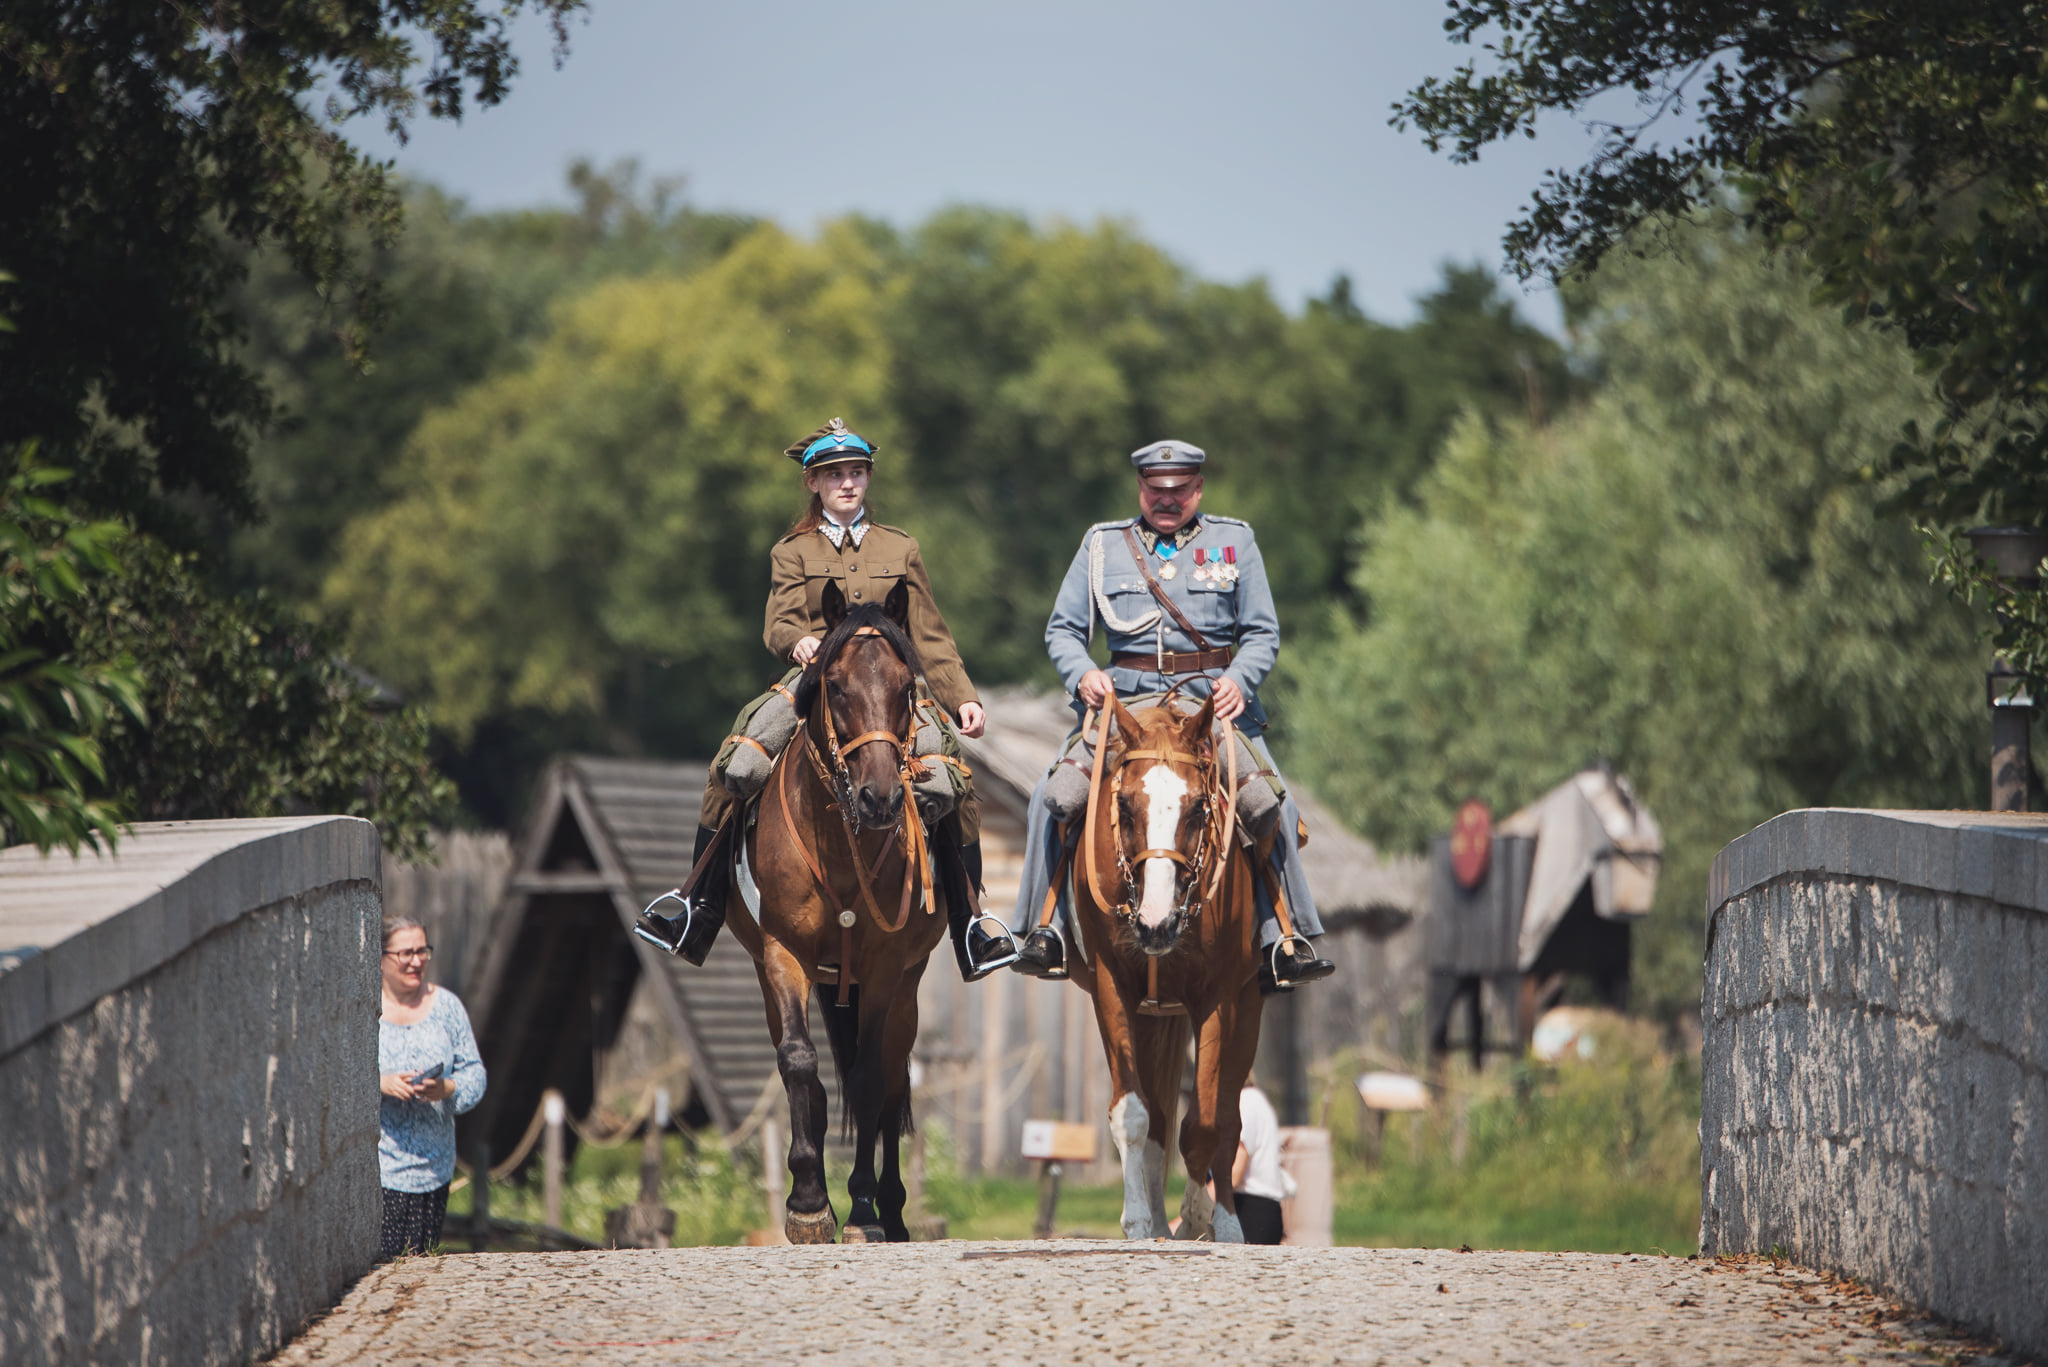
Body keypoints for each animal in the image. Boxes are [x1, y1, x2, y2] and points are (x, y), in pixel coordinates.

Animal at [729, 582, 966, 1246]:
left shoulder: (885, 969)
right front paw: (809, 1203)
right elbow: (799, 1064)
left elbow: (867, 1082)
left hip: (903, 990)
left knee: (890, 1080)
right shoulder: (783, 955)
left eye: (906, 687)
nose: (880, 798)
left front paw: (862, 1208)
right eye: (834, 685)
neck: (840, 843)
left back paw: (891, 1208)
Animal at [1064, 696, 1269, 1237]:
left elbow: (1206, 1121)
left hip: (1248, 1007)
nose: (1155, 925)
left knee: (1229, 1116)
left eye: (1198, 807)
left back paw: (1226, 1224)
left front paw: (1197, 1217)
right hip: (1153, 1018)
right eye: (1125, 807)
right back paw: (1157, 1221)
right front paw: (1139, 1220)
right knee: (1157, 1119)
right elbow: (1134, 1113)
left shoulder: (1218, 997)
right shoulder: (1113, 988)